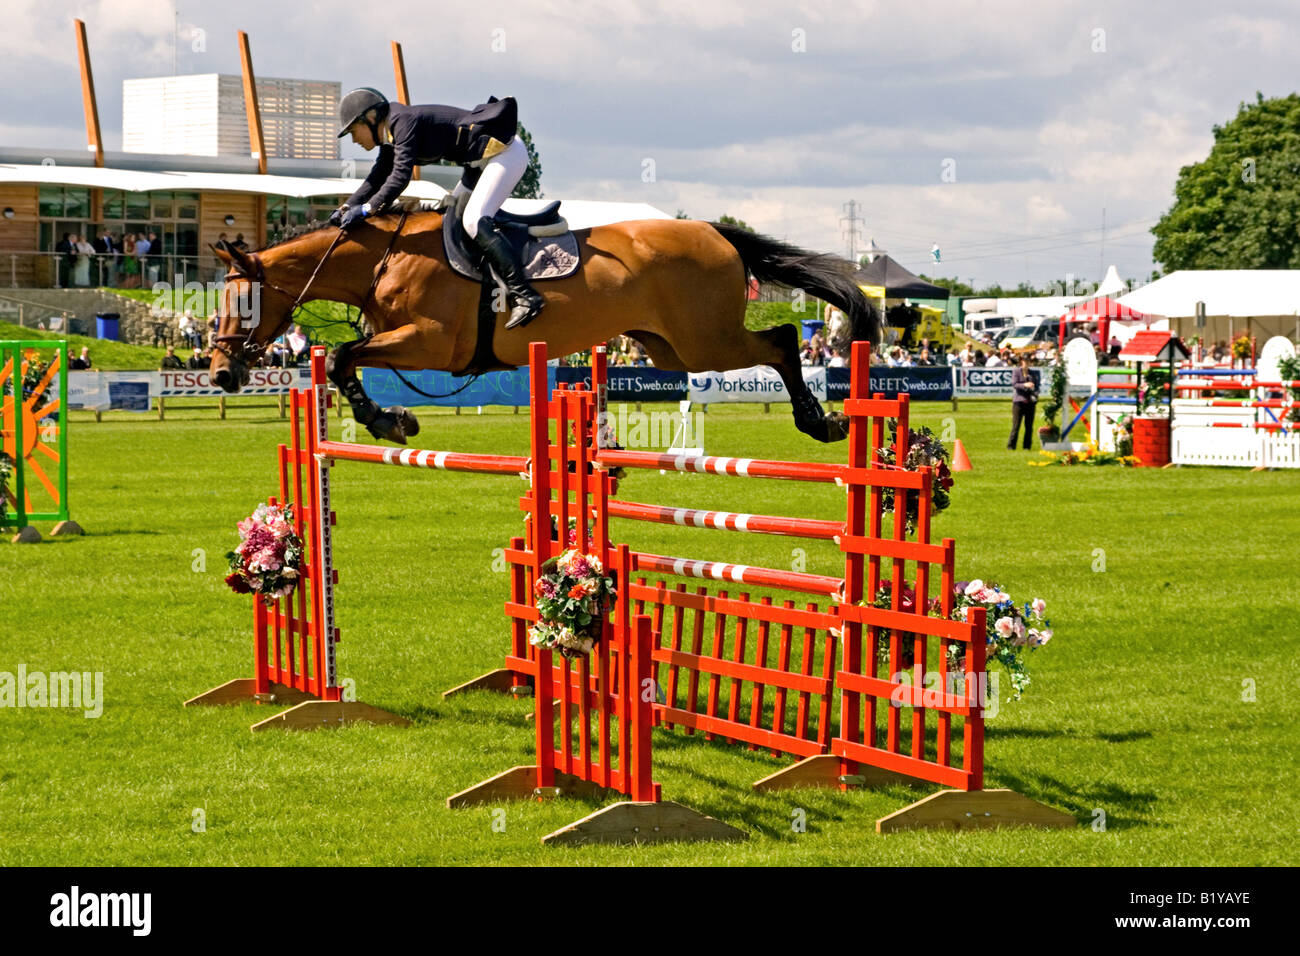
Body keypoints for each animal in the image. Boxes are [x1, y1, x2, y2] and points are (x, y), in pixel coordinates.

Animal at [210, 213, 883, 444]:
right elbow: (344, 360)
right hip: (674, 351)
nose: (219, 374)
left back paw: (820, 422)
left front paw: (387, 421)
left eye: (242, 302)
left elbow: (347, 354)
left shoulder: (429, 341)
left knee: (784, 341)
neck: (386, 258)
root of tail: (716, 232)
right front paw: (391, 420)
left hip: (705, 340)